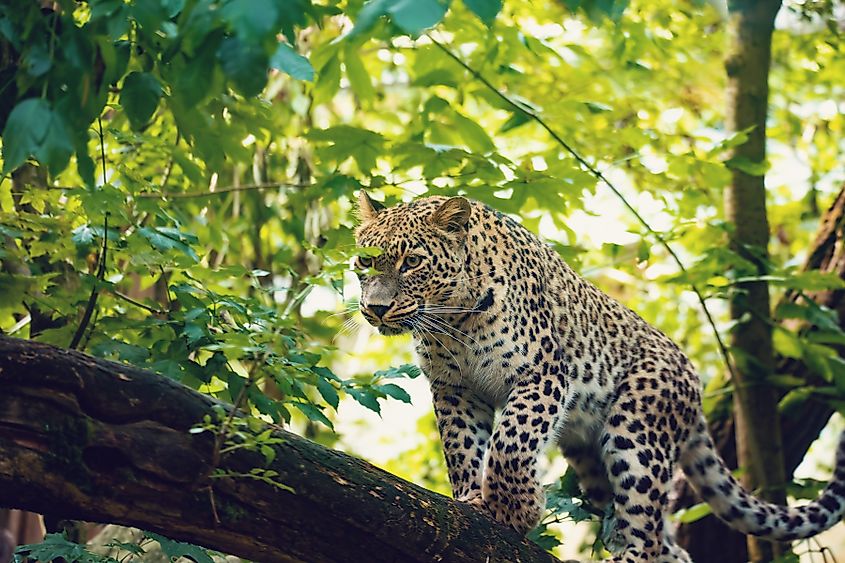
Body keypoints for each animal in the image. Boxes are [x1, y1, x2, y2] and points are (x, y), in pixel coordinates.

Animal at [353, 192, 845, 562]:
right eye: (364, 261)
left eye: (413, 262)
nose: (375, 308)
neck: (451, 319)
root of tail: (693, 382)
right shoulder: (453, 390)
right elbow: (462, 449)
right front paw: (473, 499)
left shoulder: (543, 374)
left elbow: (511, 442)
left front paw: (514, 509)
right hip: (592, 462)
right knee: (666, 544)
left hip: (637, 433)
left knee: (647, 534)